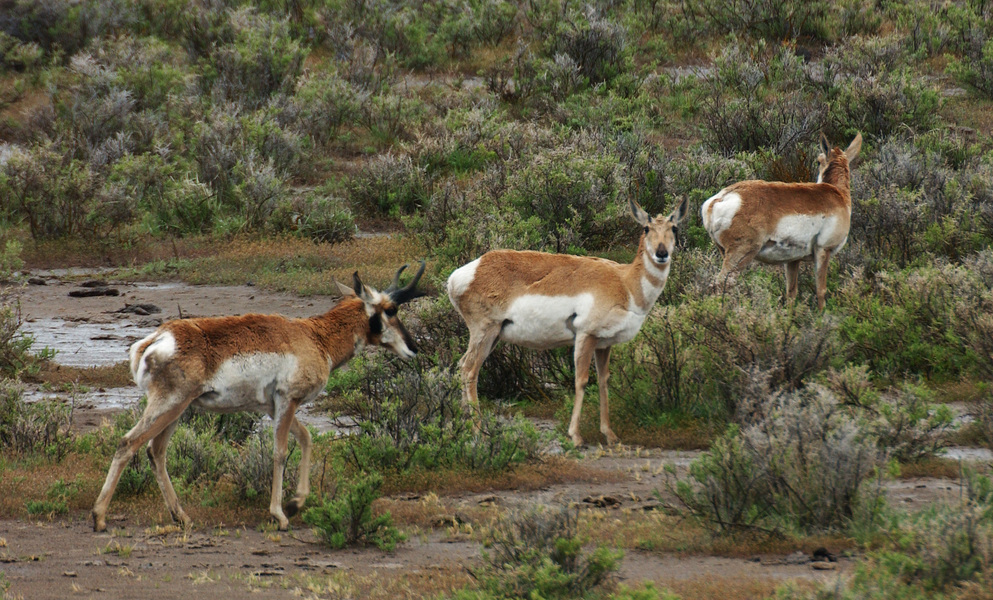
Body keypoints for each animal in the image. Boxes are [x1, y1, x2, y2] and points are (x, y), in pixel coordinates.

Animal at [94, 262, 430, 528]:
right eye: (391, 310)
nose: (414, 348)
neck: (314, 336)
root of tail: (159, 338)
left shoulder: (274, 406)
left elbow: (306, 439)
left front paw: (295, 504)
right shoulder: (288, 400)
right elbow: (280, 452)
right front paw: (279, 515)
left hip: (177, 410)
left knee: (156, 451)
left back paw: (183, 518)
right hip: (170, 405)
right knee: (128, 444)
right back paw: (99, 518)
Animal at [446, 198, 684, 446]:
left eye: (674, 228)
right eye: (646, 228)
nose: (661, 253)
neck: (625, 282)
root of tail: (464, 273)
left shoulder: (604, 344)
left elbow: (603, 381)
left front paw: (610, 434)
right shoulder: (585, 336)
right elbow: (581, 381)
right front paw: (576, 436)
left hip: (493, 338)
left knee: (462, 366)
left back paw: (465, 426)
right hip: (485, 332)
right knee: (469, 370)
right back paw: (478, 431)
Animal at [696, 132, 860, 310]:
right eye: (818, 160)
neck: (837, 194)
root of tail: (720, 198)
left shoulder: (793, 260)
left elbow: (791, 292)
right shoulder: (823, 250)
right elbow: (821, 290)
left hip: (724, 252)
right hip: (741, 253)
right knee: (720, 285)